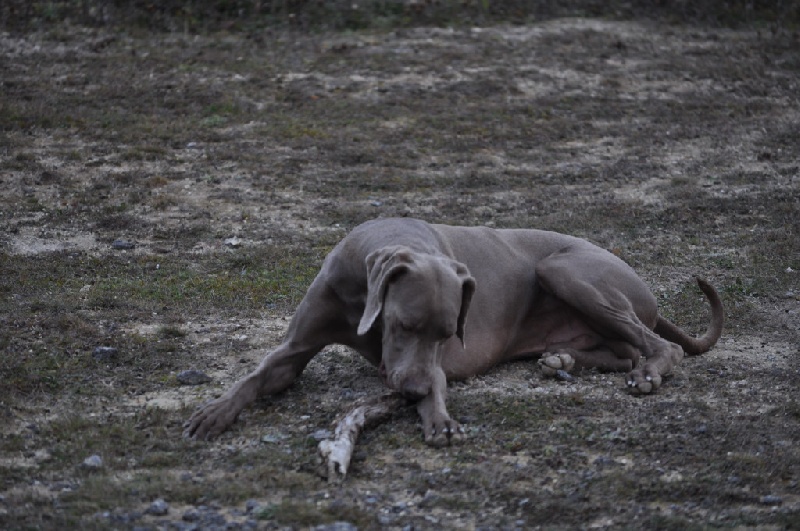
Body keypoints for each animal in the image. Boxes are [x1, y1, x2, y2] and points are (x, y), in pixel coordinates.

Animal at [184, 218, 720, 446]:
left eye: (447, 334)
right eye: (403, 324)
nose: (412, 390)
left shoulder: (437, 361)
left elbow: (438, 379)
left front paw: (438, 417)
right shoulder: (294, 349)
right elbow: (255, 377)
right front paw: (214, 412)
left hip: (565, 271)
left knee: (657, 347)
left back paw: (648, 373)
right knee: (623, 349)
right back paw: (562, 360)